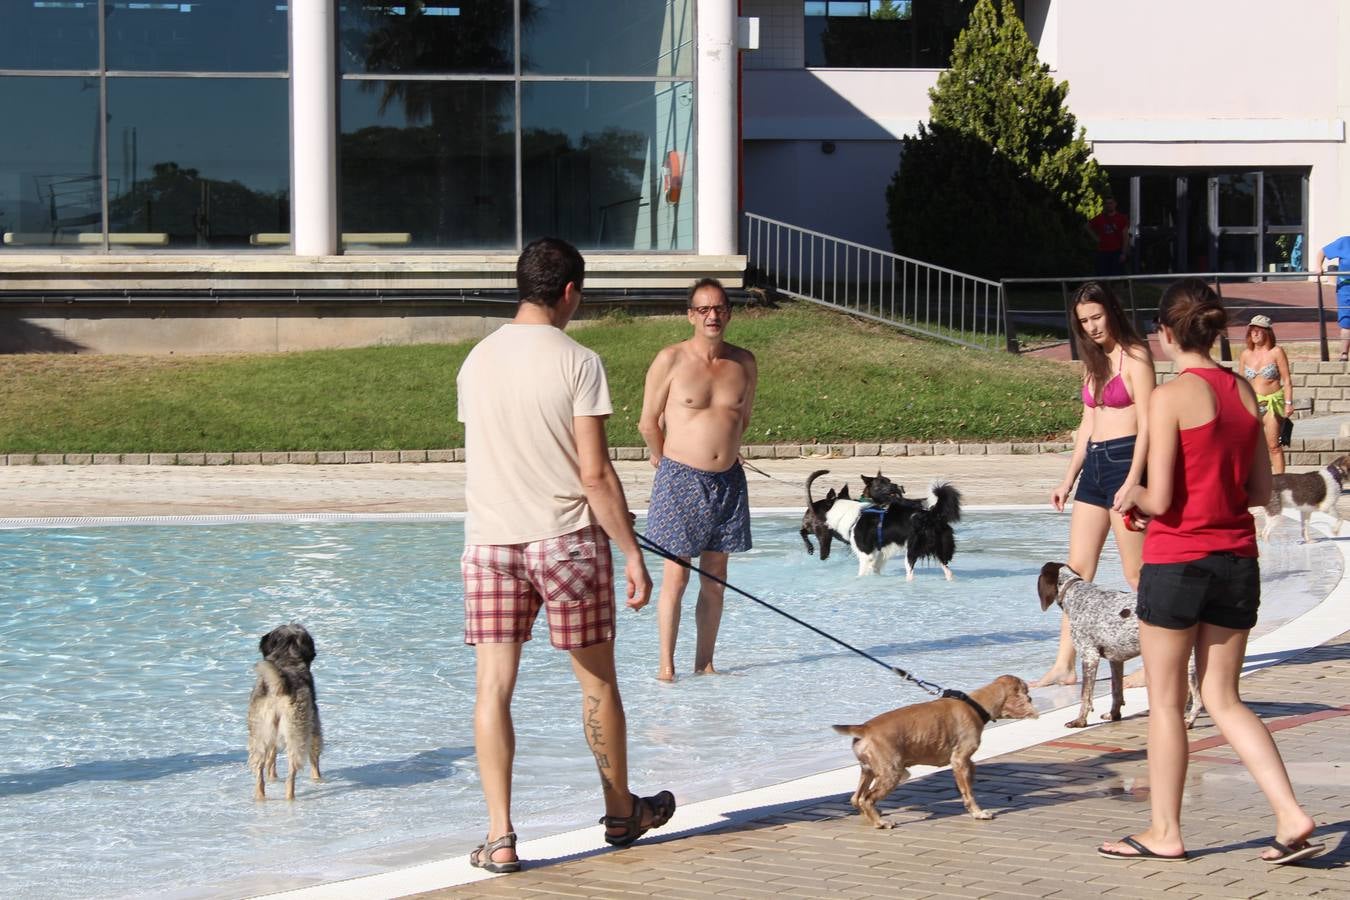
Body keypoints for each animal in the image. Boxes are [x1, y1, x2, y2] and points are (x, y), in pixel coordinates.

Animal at [826, 674, 1036, 831]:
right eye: (1026, 691)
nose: (1031, 698)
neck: (974, 704)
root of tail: (864, 728)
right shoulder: (959, 759)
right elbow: (968, 792)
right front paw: (978, 813)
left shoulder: (964, 761)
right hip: (891, 773)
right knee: (867, 798)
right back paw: (880, 822)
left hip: (868, 770)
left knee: (857, 798)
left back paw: (873, 816)